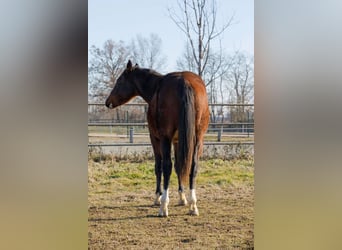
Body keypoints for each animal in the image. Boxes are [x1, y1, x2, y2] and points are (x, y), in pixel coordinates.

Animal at [105, 60, 210, 217]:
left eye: (119, 81)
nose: (108, 102)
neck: (156, 86)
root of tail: (184, 81)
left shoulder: (156, 138)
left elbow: (158, 167)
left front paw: (158, 197)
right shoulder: (177, 141)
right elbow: (179, 166)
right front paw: (182, 198)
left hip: (165, 138)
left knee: (166, 166)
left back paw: (163, 207)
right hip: (198, 138)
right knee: (193, 166)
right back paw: (193, 205)